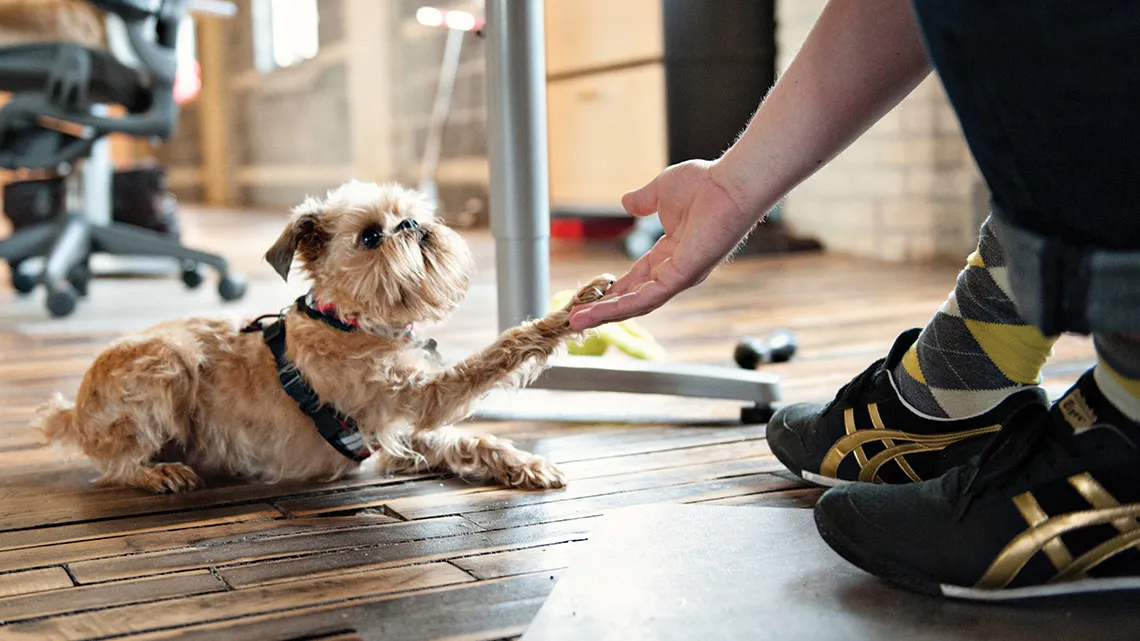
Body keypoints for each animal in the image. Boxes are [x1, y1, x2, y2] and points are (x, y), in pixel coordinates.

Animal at [33, 182, 615, 490]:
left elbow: (471, 440)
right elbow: (500, 352)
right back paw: (158, 474)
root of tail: (74, 413)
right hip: (168, 363)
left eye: (409, 214)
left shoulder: (398, 430)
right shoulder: (421, 398)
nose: (410, 226)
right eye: (371, 236)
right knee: (115, 465)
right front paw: (575, 308)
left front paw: (525, 464)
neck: (352, 321)